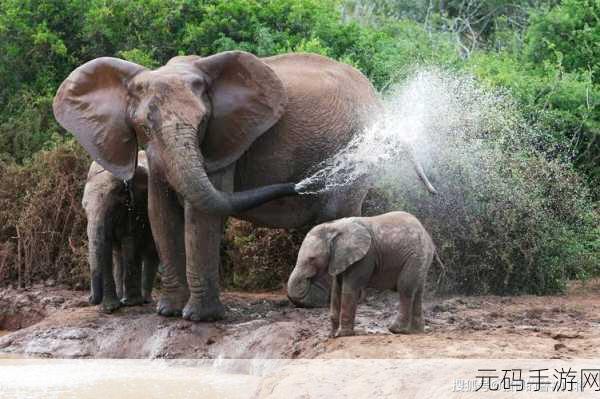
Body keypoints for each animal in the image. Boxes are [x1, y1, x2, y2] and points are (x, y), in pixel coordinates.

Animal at [82, 151, 158, 312]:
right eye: (84, 209)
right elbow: (106, 246)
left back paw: (143, 300)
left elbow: (129, 240)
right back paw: (123, 299)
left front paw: (131, 303)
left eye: (113, 207)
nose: (90, 299)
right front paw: (110, 308)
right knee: (119, 255)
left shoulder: (134, 206)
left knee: (150, 252)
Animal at [288, 212, 434, 338]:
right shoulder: (339, 258)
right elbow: (336, 290)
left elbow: (349, 289)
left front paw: (343, 335)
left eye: (312, 259)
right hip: (422, 258)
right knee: (417, 291)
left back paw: (396, 330)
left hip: (415, 255)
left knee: (405, 288)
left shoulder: (364, 257)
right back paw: (416, 331)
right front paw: (332, 335)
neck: (335, 227)